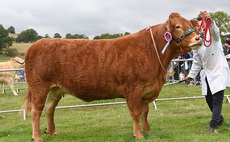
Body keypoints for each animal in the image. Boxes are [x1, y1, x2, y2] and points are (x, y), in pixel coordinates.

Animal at [24, 12, 202, 141]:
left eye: (190, 26)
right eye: (178, 26)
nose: (198, 38)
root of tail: (37, 44)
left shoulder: (146, 90)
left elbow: (145, 112)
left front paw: (147, 131)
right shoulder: (133, 88)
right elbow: (136, 113)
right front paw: (138, 134)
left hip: (54, 89)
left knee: (49, 109)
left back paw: (52, 132)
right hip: (39, 87)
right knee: (36, 111)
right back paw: (37, 136)